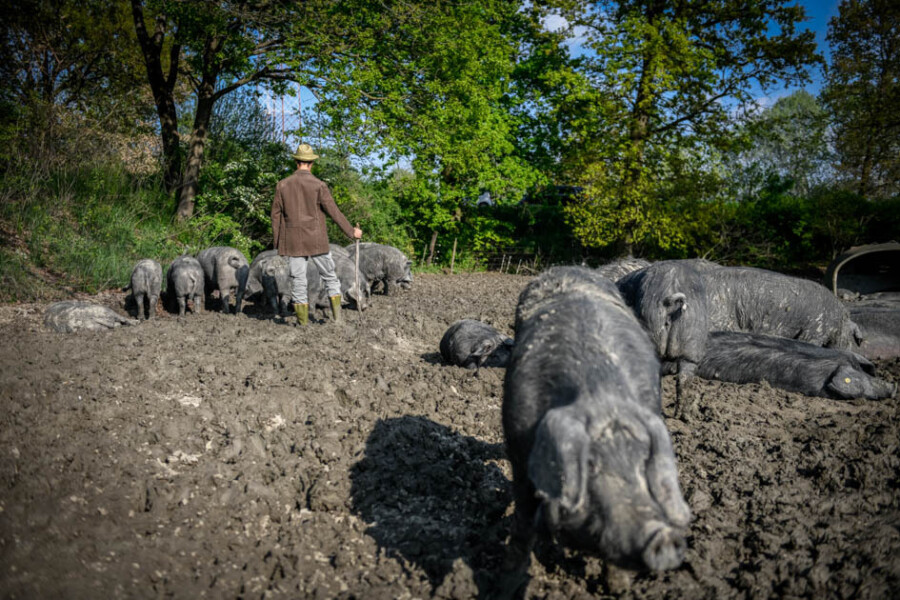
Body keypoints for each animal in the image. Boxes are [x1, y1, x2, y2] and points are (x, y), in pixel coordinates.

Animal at [502, 268, 692, 592]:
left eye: (644, 464)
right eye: (589, 466)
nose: (662, 537)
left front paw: (617, 589)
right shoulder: (518, 454)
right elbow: (523, 524)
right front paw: (507, 583)